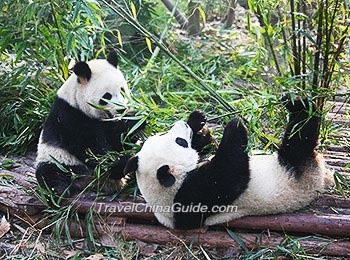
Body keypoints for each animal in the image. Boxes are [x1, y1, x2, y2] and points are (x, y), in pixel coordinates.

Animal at [35, 51, 139, 197]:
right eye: (106, 96)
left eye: (122, 91)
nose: (121, 109)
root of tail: (89, 181)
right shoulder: (69, 116)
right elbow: (89, 147)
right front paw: (115, 163)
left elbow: (120, 139)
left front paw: (136, 119)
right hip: (57, 159)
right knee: (49, 174)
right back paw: (58, 191)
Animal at [124, 98, 332, 230]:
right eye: (179, 142)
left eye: (161, 134)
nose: (182, 124)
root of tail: (321, 175)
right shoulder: (193, 196)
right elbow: (230, 174)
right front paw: (235, 125)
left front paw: (197, 122)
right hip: (294, 168)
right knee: (300, 138)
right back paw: (301, 107)